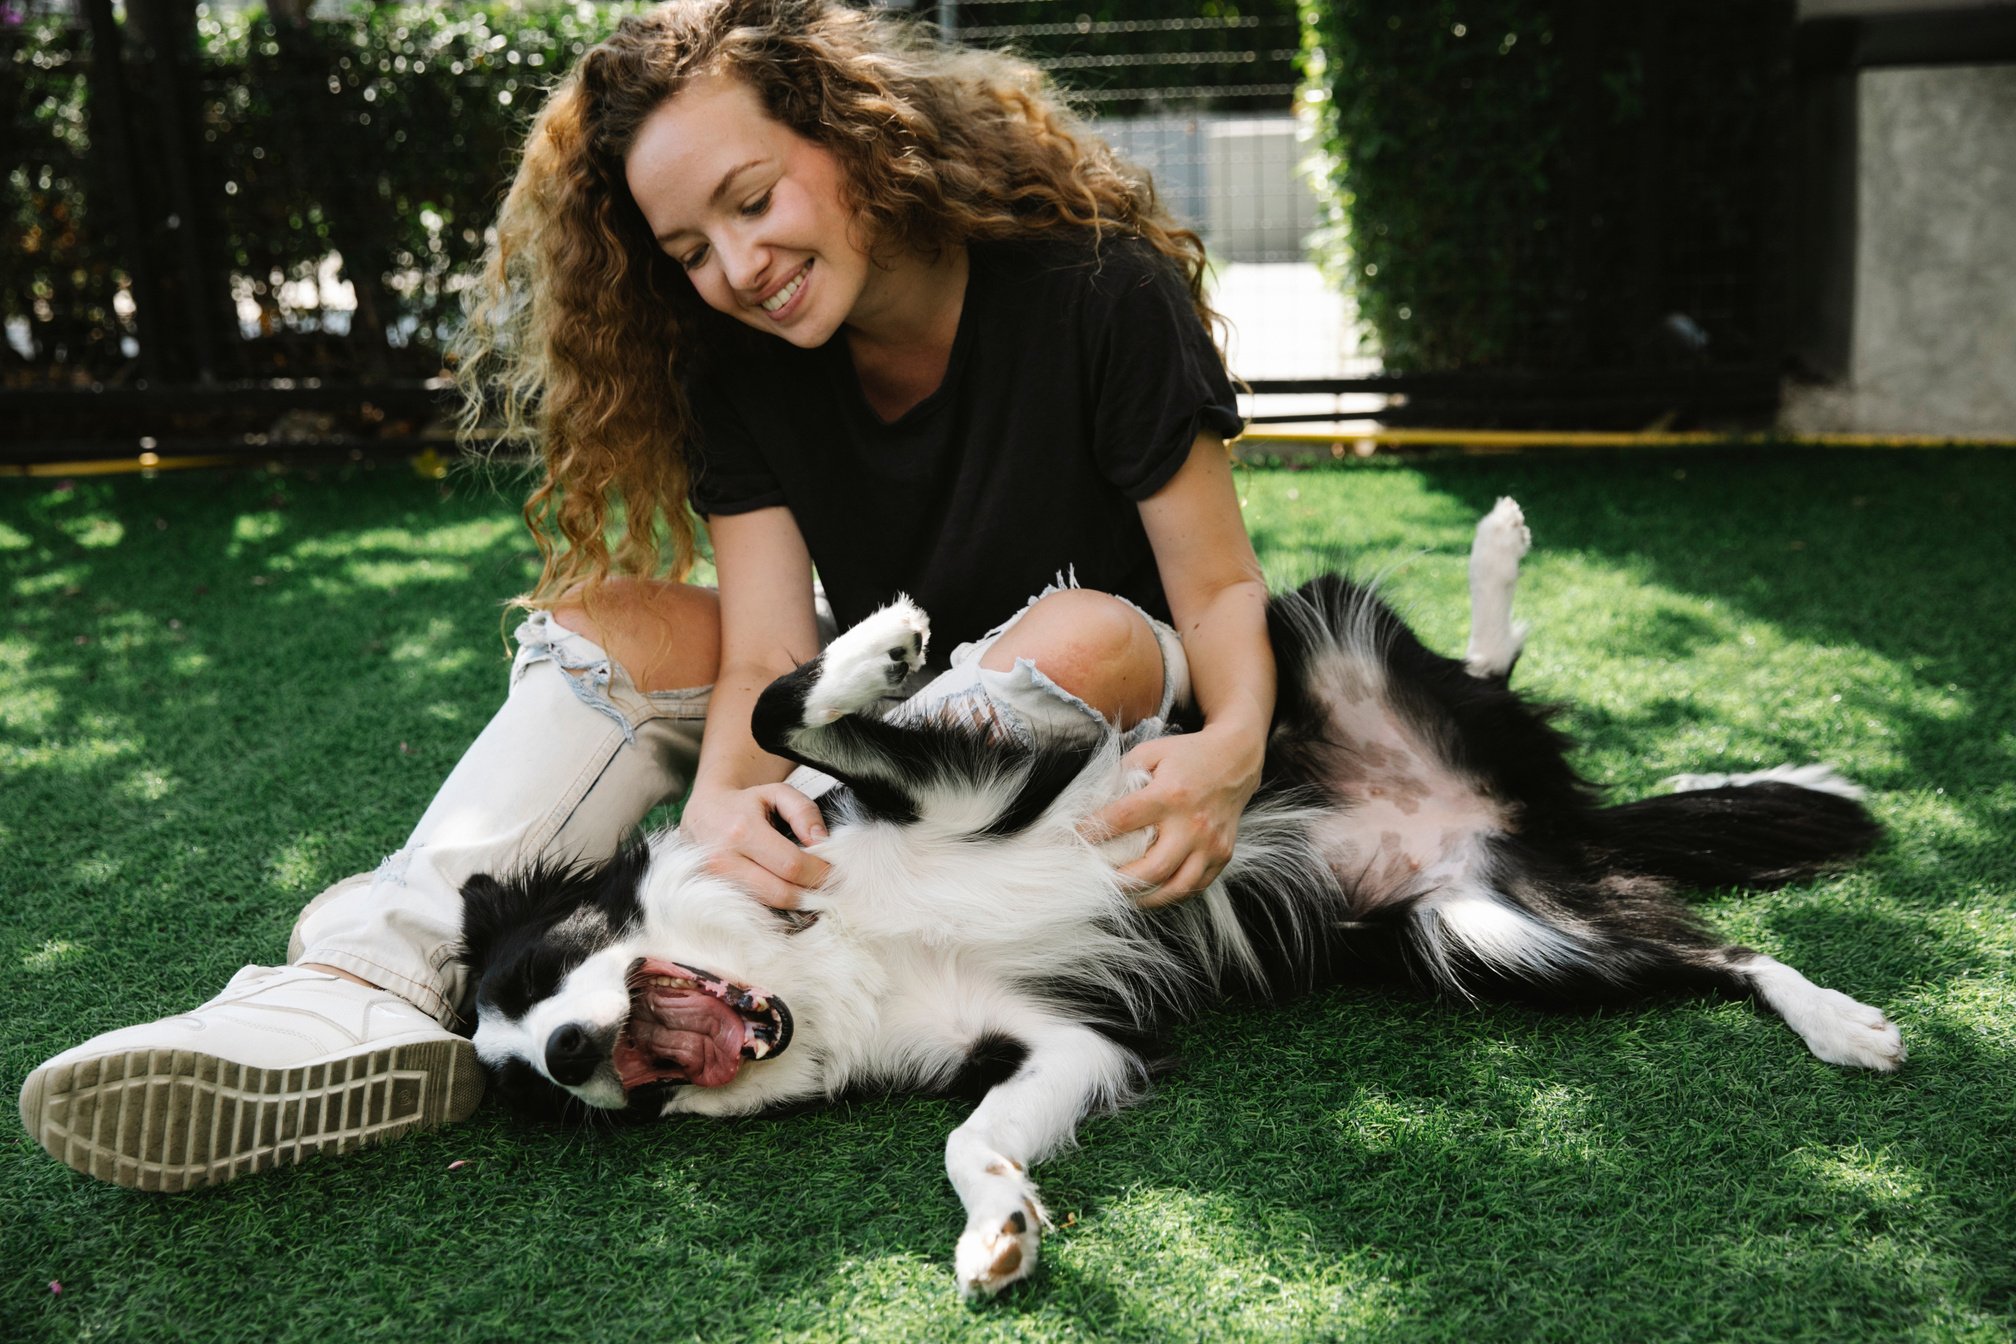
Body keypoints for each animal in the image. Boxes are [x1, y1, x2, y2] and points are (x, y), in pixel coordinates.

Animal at [461, 499, 1903, 1297]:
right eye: (551, 1091)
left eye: (542, 973)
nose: (578, 1055)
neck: (818, 958)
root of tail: (1539, 815)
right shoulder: (1059, 1039)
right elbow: (968, 1139)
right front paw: (1000, 1232)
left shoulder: (963, 785)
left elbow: (779, 709)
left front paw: (880, 641)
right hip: (1493, 930)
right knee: (1704, 949)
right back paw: (1839, 1020)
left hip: (1310, 636)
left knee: (1486, 681)